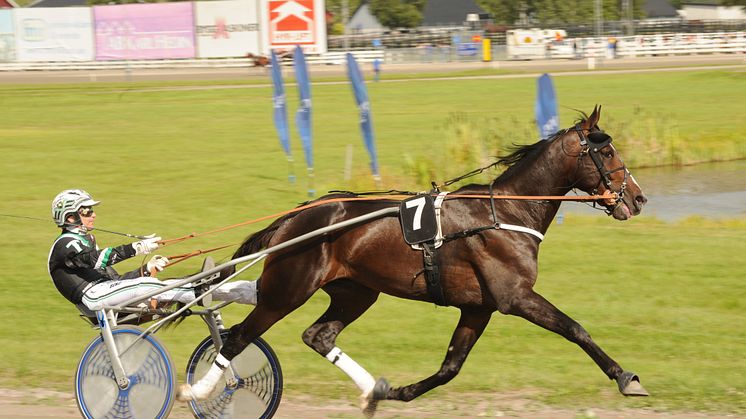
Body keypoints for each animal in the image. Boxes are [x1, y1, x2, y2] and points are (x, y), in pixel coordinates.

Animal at [177, 106, 648, 416]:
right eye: (607, 153)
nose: (639, 199)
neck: (505, 212)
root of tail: (297, 215)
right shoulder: (514, 297)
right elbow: (575, 329)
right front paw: (626, 378)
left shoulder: (478, 307)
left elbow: (449, 367)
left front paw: (394, 393)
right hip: (289, 289)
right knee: (238, 337)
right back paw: (195, 392)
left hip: (354, 291)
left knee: (316, 334)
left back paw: (370, 388)